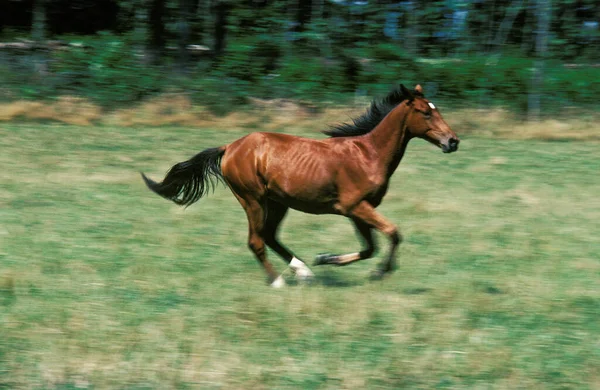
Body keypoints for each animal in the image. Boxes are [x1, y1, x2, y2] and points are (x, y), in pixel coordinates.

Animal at [141, 84, 460, 286]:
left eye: (437, 109)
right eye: (426, 112)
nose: (453, 141)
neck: (369, 153)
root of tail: (229, 147)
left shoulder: (358, 210)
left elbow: (370, 247)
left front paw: (326, 258)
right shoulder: (356, 206)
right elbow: (393, 234)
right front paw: (380, 273)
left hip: (277, 202)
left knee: (269, 236)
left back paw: (304, 271)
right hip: (252, 199)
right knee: (256, 240)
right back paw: (278, 281)